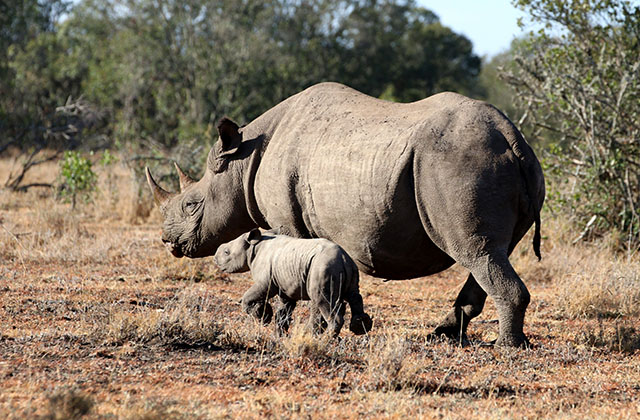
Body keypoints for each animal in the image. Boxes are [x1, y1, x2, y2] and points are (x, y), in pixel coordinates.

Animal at [214, 228, 374, 337]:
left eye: (227, 252)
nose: (215, 258)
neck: (253, 248)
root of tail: (344, 258)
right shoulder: (285, 287)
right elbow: (283, 312)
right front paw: (278, 335)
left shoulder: (265, 283)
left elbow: (248, 297)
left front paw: (262, 315)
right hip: (348, 268)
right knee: (352, 295)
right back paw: (359, 328)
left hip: (323, 267)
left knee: (322, 301)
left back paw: (324, 339)